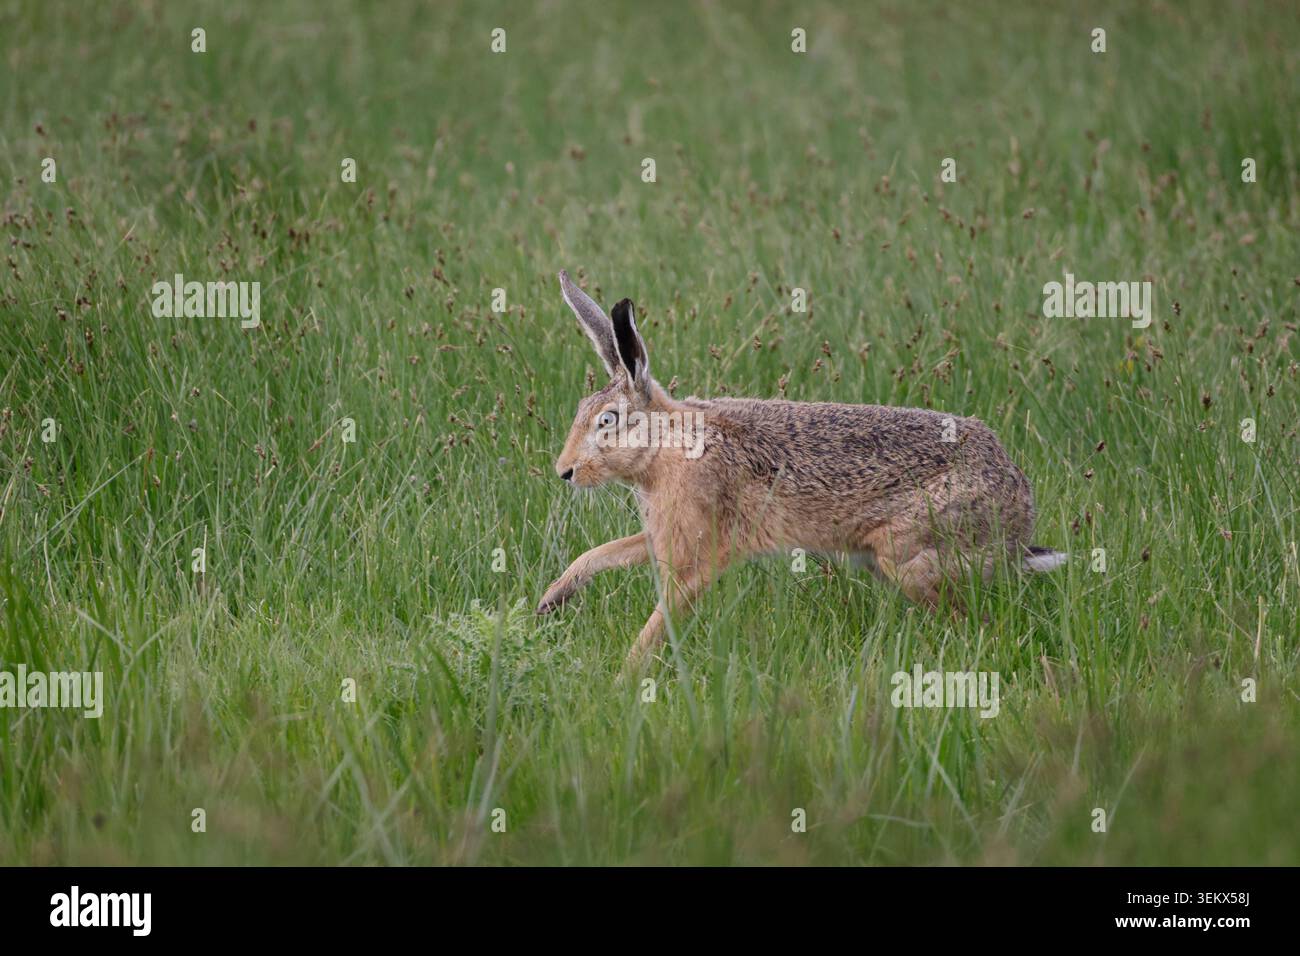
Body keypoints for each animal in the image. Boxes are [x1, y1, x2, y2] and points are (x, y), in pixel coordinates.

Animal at [538, 270, 1066, 672]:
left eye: (608, 421)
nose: (565, 471)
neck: (668, 446)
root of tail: (1019, 518)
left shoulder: (696, 555)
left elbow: (661, 617)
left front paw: (623, 677)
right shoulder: (661, 534)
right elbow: (601, 553)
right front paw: (553, 598)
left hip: (910, 556)